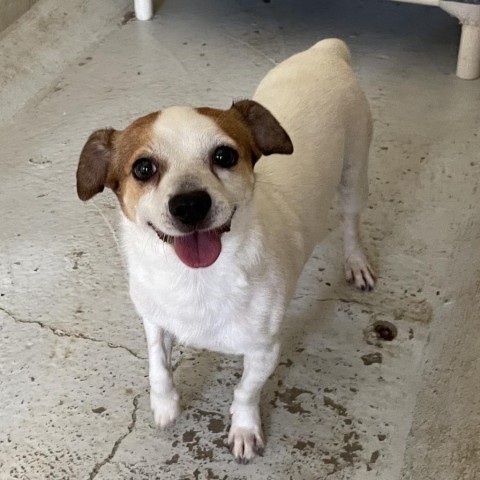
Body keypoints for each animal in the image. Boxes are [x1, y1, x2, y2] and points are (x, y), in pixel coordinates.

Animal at [76, 39, 376, 464]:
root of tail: (325, 51)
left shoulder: (264, 350)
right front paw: (165, 404)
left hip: (354, 176)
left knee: (351, 224)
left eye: (224, 156)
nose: (189, 205)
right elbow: (157, 365)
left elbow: (245, 391)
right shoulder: (153, 320)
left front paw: (244, 429)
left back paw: (356, 263)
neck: (195, 279)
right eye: (143, 168)